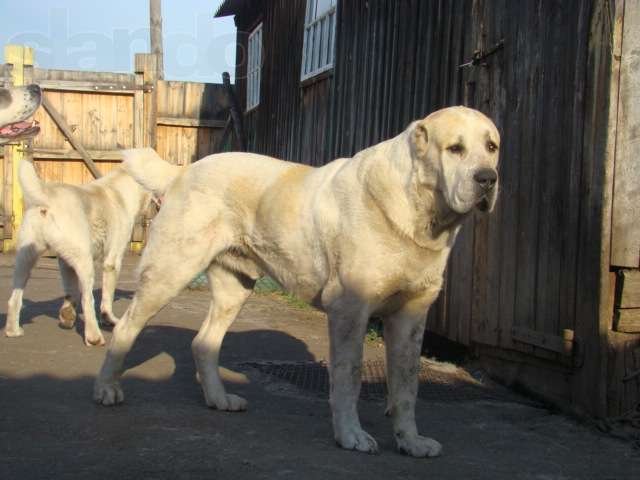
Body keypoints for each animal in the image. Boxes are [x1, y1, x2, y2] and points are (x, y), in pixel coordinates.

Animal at [5, 160, 152, 344]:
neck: (119, 189)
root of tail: (46, 197)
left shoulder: (64, 261)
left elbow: (71, 291)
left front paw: (67, 316)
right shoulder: (112, 261)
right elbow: (106, 298)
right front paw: (109, 319)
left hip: (25, 261)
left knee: (14, 299)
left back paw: (12, 331)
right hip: (85, 261)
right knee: (87, 299)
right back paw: (94, 337)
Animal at [94, 105, 500, 458]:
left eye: (492, 147)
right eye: (455, 149)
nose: (487, 179)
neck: (421, 213)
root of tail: (182, 172)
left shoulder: (411, 317)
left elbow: (407, 385)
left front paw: (411, 442)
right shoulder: (350, 310)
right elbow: (349, 376)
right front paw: (350, 436)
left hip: (233, 290)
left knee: (203, 343)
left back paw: (219, 399)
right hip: (169, 272)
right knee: (126, 328)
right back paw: (107, 389)